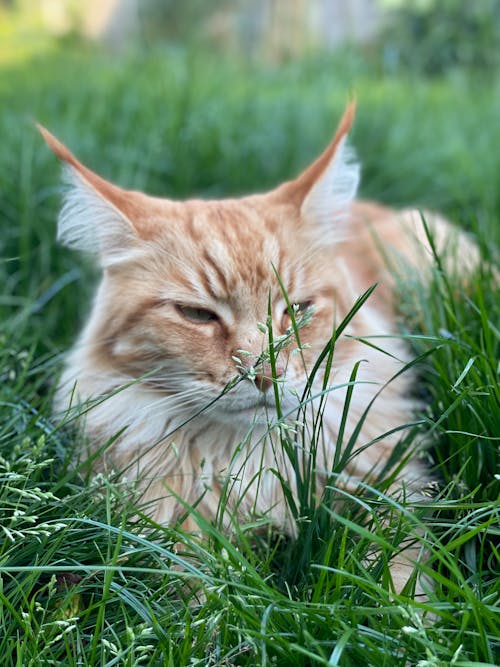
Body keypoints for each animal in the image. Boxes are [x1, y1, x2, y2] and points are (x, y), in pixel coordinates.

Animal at [40, 104, 472, 596]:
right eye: (197, 314)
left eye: (296, 310)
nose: (264, 373)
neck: (251, 462)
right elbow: (200, 591)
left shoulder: (392, 486)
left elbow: (394, 574)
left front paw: (406, 611)